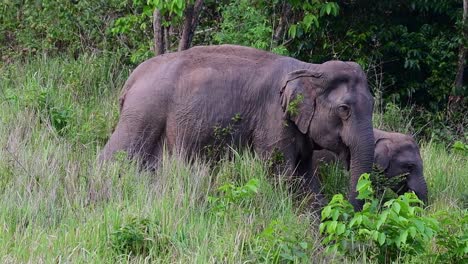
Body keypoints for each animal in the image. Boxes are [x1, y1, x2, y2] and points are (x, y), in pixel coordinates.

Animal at [100, 45, 374, 210]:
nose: (347, 206)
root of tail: (131, 80)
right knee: (116, 155)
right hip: (143, 112)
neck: (311, 69)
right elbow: (280, 174)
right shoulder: (274, 119)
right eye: (344, 109)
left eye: (373, 104)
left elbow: (305, 176)